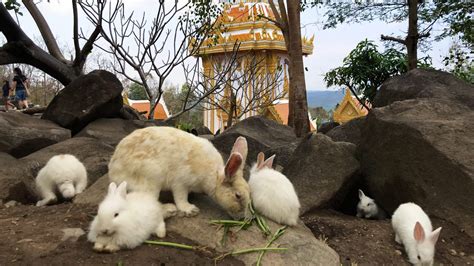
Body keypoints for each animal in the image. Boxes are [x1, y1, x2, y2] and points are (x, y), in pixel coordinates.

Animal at [108, 127, 252, 220]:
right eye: (238, 195)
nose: (241, 218)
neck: (214, 177)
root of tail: (113, 171)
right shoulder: (180, 183)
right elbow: (180, 198)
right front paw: (190, 210)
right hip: (152, 179)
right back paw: (170, 210)